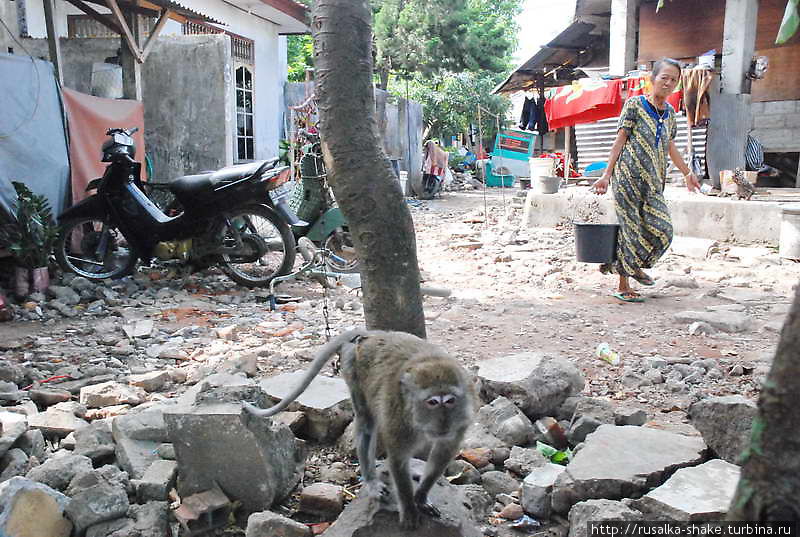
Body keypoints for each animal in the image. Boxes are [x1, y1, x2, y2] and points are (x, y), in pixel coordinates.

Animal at [241, 326, 472, 528]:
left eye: (450, 401)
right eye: (432, 402)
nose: (444, 422)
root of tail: (373, 334)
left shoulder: (460, 420)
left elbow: (443, 452)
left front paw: (422, 496)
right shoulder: (398, 419)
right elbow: (398, 458)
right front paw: (408, 508)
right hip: (352, 365)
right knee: (366, 423)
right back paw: (371, 479)